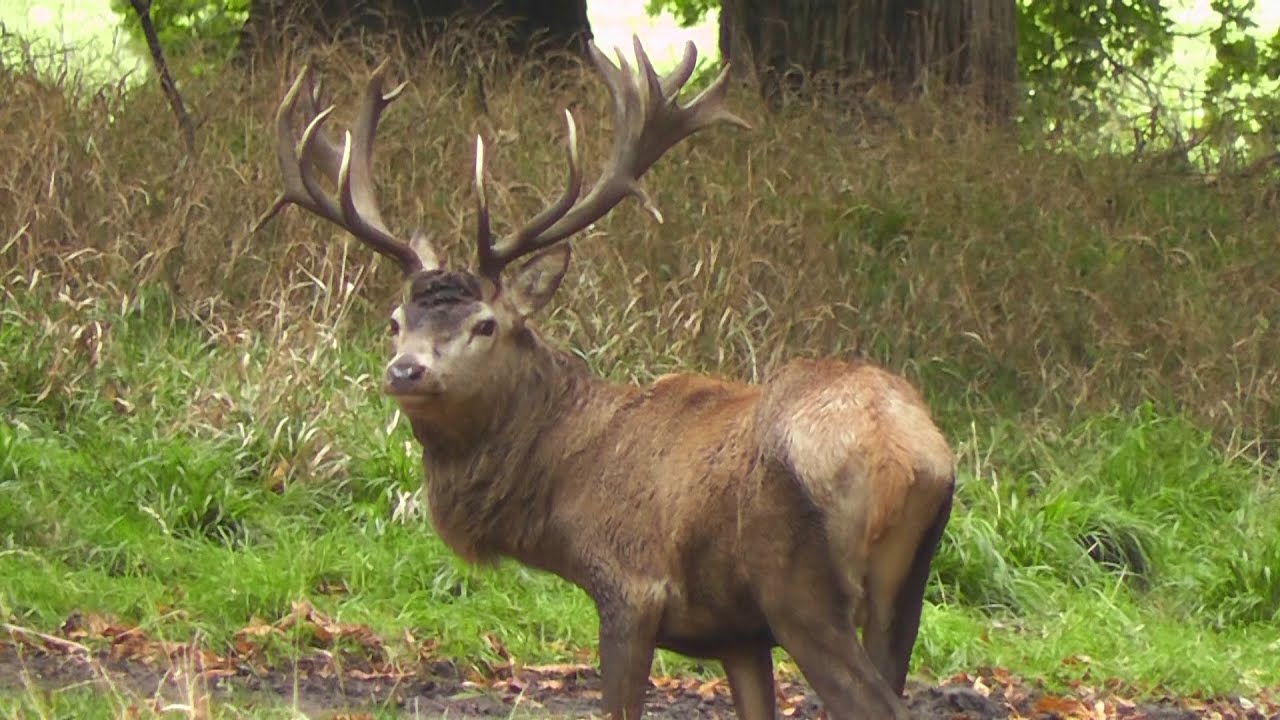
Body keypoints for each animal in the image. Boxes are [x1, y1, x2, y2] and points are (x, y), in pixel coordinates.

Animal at [254, 37, 955, 720]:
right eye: (395, 321)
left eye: (486, 324)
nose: (406, 371)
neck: (565, 485)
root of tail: (903, 454)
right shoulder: (735, 632)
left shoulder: (629, 586)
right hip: (906, 588)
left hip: (799, 586)